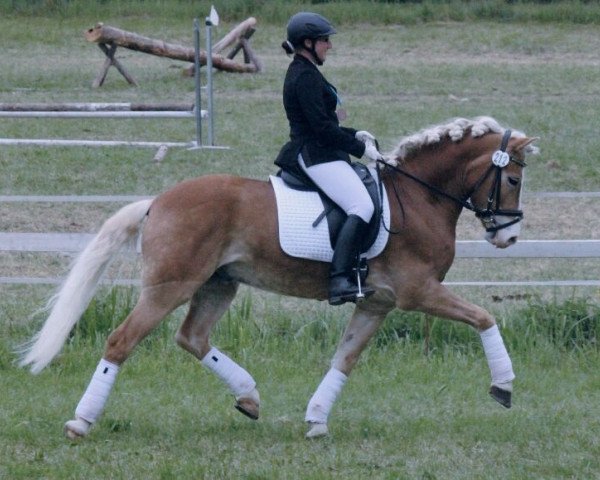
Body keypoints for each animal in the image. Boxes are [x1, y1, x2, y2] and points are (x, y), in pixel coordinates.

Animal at [18, 115, 540, 438]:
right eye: (513, 179)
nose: (508, 236)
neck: (418, 198)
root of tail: (157, 202)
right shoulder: (418, 292)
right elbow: (484, 317)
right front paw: (504, 386)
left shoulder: (378, 302)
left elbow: (344, 359)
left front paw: (317, 420)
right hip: (171, 285)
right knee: (121, 342)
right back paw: (81, 422)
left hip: (219, 284)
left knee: (192, 337)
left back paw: (248, 396)